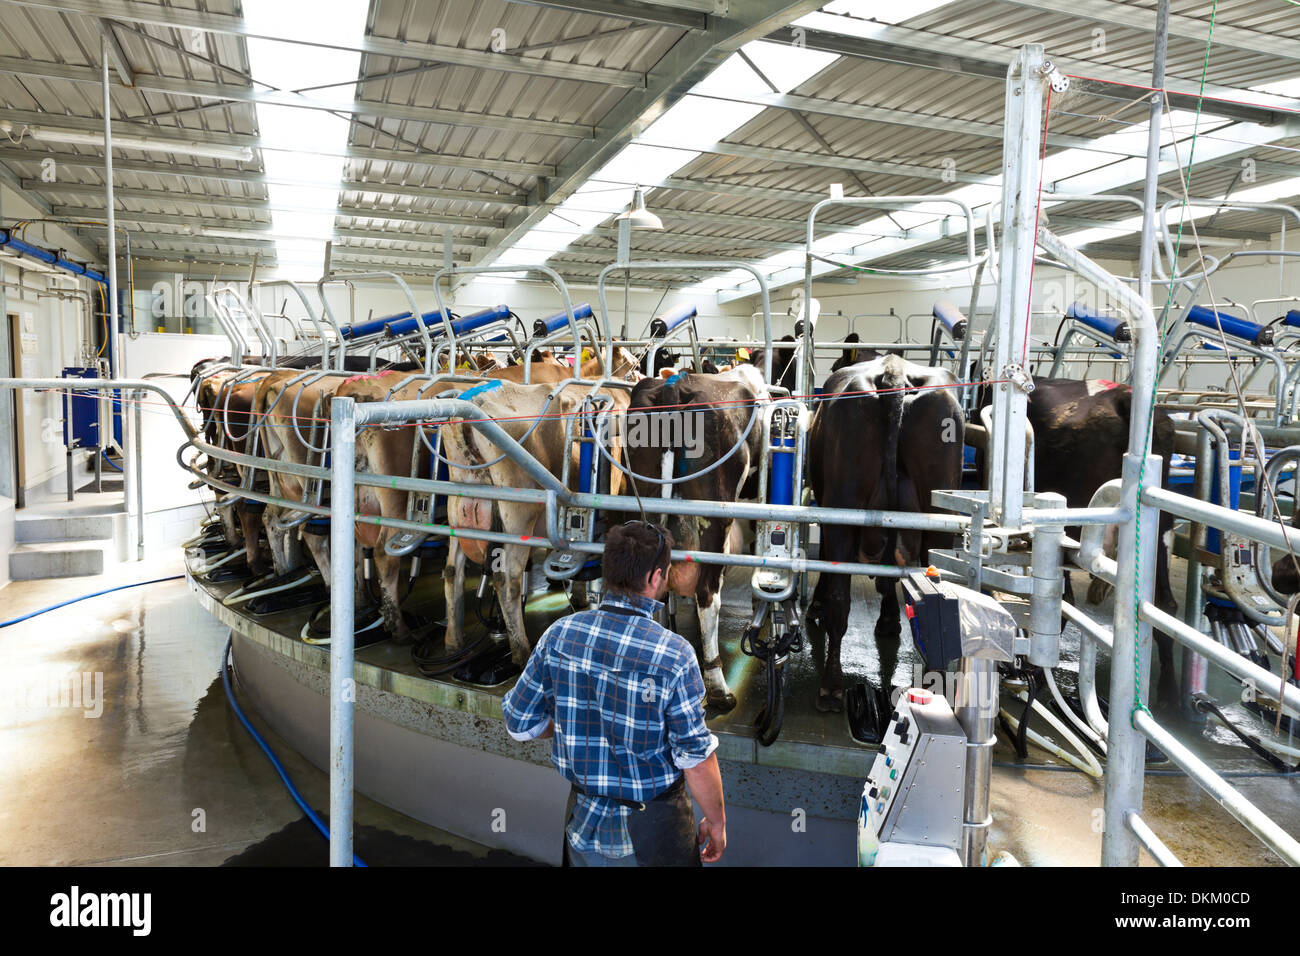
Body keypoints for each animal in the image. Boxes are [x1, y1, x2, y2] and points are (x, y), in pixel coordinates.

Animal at [811, 356, 967, 712]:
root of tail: (894, 371)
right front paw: (889, 621)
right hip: (938, 518)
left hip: (843, 509)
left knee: (841, 599)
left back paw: (831, 684)